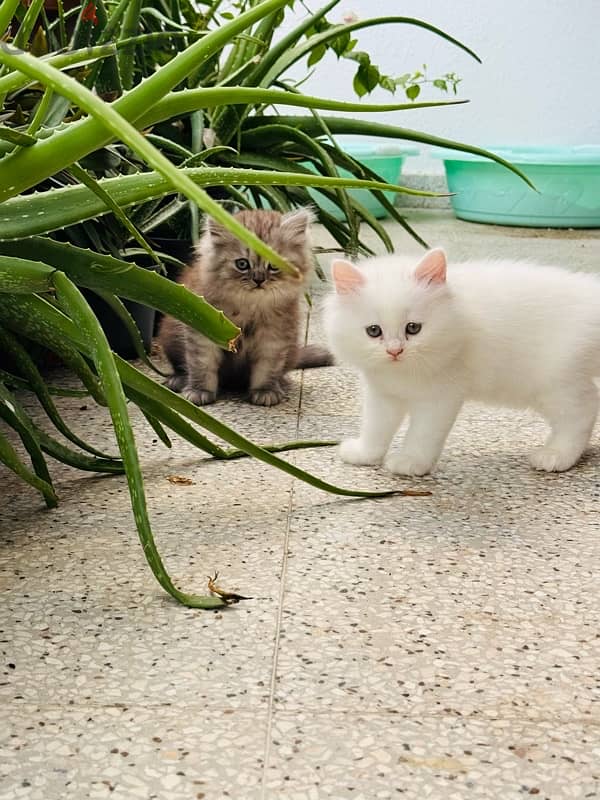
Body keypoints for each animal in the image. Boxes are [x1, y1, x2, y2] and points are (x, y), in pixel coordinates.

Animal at [157, 208, 330, 406]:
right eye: (242, 264)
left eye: (273, 265)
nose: (259, 279)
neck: (250, 306)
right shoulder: (202, 329)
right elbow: (201, 365)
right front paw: (199, 391)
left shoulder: (275, 336)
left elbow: (267, 368)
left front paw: (265, 391)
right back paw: (178, 380)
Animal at [324, 250, 600, 476]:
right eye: (374, 331)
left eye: (413, 328)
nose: (395, 351)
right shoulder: (382, 395)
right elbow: (375, 428)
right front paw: (364, 454)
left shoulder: (439, 398)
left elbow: (422, 434)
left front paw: (411, 462)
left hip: (554, 384)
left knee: (582, 412)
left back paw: (556, 455)